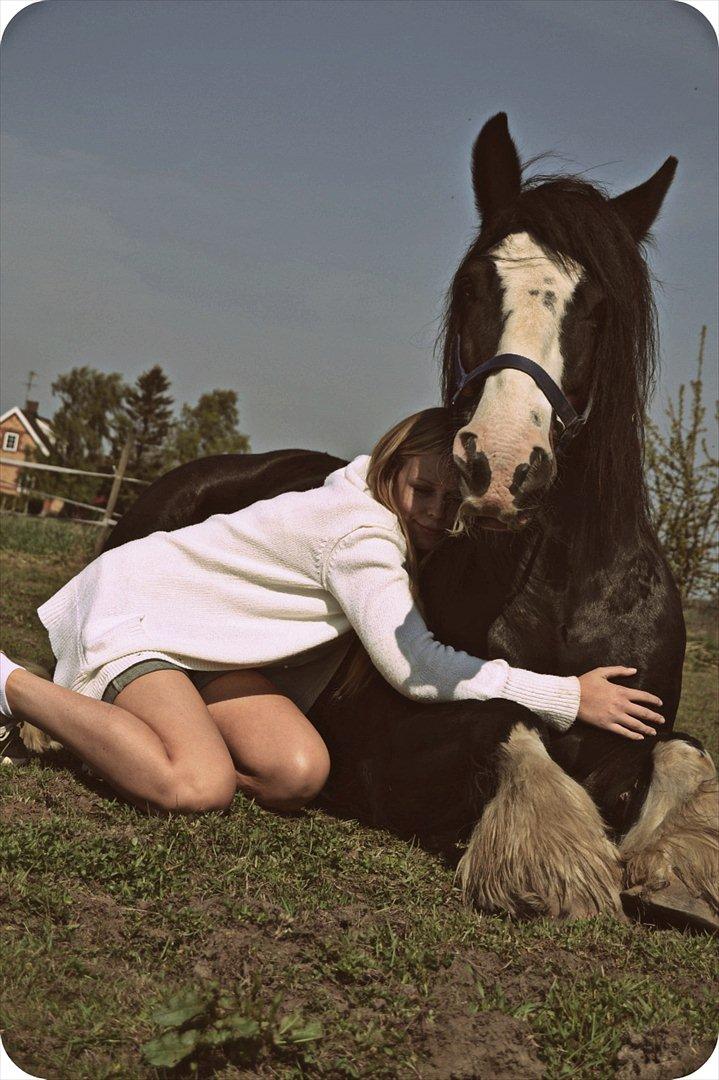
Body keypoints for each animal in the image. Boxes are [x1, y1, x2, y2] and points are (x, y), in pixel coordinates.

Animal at [89, 116, 712, 928]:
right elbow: (505, 713)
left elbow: (685, 750)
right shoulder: (383, 755)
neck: (565, 588)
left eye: (598, 307)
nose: (501, 466)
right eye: (476, 283)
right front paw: (550, 857)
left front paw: (676, 869)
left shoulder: (637, 733)